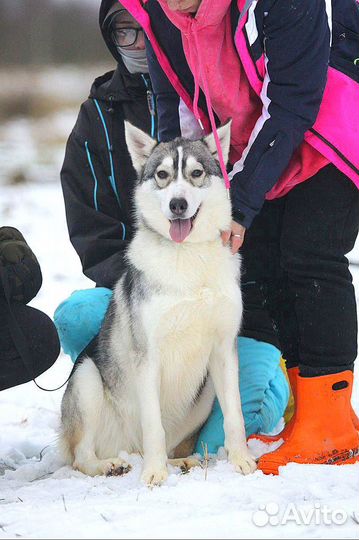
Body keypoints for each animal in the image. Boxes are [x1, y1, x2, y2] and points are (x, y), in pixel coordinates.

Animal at [61, 121, 258, 486]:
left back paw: (181, 461)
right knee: (82, 456)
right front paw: (154, 475)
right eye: (163, 175)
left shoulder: (224, 349)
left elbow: (235, 415)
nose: (178, 204)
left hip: (204, 394)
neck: (187, 256)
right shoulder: (147, 357)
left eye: (196, 173)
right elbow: (153, 426)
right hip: (86, 378)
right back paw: (112, 465)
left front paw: (242, 460)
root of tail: (129, 448)